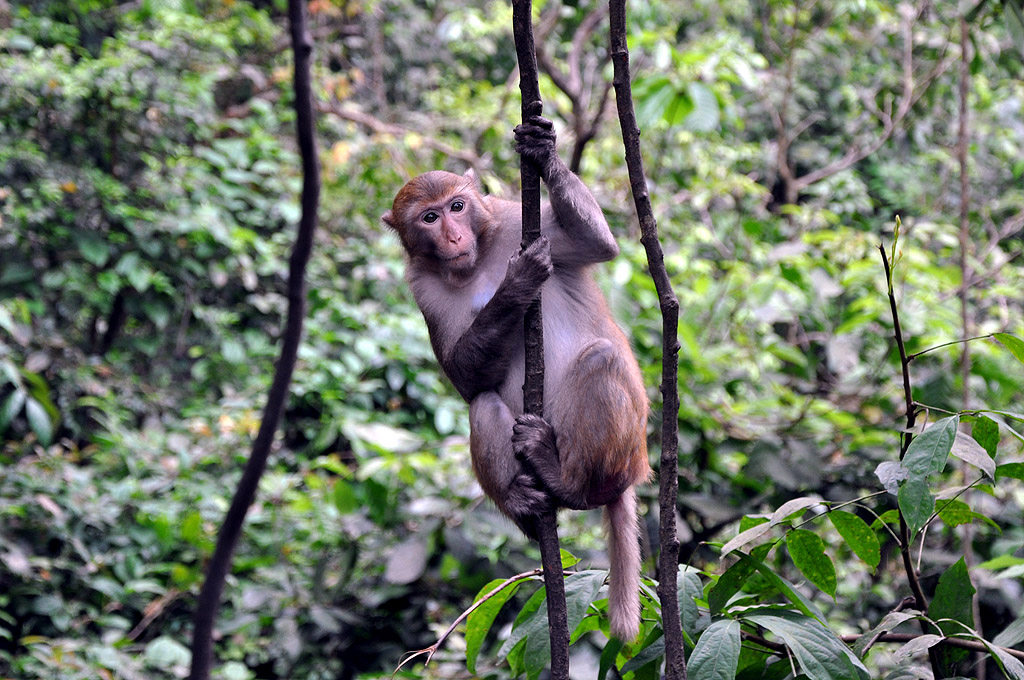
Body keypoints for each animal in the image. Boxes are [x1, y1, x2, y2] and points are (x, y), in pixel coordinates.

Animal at [380, 114, 651, 639]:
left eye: (458, 207)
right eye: (429, 218)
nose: (454, 238)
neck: (476, 262)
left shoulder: (511, 221)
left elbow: (595, 245)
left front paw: (543, 149)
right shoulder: (422, 286)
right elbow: (464, 380)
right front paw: (514, 287)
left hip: (619, 451)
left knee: (602, 360)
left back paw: (570, 484)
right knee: (483, 402)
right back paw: (524, 503)